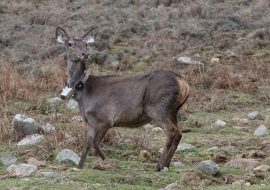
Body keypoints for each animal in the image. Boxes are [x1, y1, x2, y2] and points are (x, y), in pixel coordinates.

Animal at [55, 26, 190, 171]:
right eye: (70, 44)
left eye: (86, 44)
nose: (85, 54)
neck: (83, 93)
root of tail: (184, 84)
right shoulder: (91, 121)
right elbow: (87, 144)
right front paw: (80, 166)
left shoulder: (105, 119)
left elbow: (95, 143)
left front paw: (107, 161)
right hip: (172, 111)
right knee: (179, 132)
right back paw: (166, 164)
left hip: (157, 107)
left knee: (171, 131)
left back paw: (159, 165)